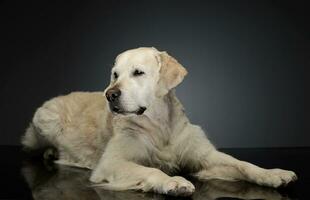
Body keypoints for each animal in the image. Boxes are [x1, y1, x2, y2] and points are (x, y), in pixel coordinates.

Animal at [21, 47, 298, 196]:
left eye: (138, 73)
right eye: (115, 74)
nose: (110, 94)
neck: (160, 125)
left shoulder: (204, 156)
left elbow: (243, 164)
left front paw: (273, 174)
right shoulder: (112, 162)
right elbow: (151, 169)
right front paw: (173, 182)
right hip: (45, 119)